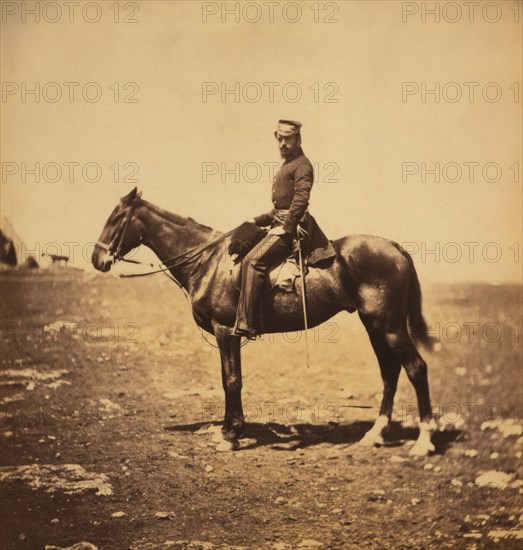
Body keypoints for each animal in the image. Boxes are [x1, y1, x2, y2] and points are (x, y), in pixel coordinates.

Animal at [92, 190, 436, 458]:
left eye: (116, 218)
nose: (98, 259)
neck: (209, 262)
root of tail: (394, 247)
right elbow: (230, 379)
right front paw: (229, 430)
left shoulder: (226, 331)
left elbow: (231, 380)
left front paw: (230, 435)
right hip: (374, 325)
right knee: (390, 372)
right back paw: (375, 434)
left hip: (389, 326)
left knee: (416, 368)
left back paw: (424, 441)